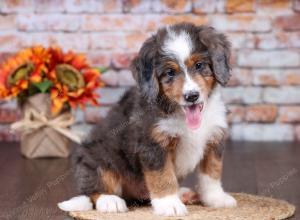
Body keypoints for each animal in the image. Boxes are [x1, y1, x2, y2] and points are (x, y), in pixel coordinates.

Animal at [58, 22, 237, 217]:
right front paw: (169, 204)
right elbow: (163, 176)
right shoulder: (153, 144)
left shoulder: (214, 138)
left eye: (199, 65)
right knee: (94, 189)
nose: (191, 96)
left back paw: (182, 194)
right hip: (96, 158)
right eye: (170, 72)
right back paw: (110, 201)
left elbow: (211, 173)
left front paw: (216, 198)